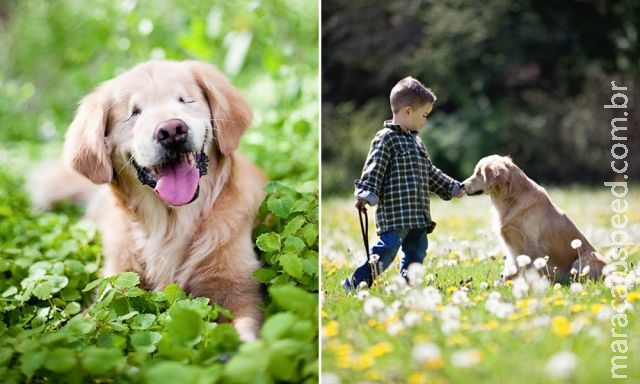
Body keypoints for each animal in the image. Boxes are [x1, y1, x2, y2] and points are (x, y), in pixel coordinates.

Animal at [32, 60, 266, 342]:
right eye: (134, 113)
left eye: (185, 100)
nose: (172, 130)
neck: (170, 223)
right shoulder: (114, 288)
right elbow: (88, 322)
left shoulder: (238, 289)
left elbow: (245, 328)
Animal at [462, 154, 608, 282]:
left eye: (479, 173)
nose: (462, 185)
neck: (511, 200)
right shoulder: (512, 246)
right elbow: (510, 269)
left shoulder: (531, 245)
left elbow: (528, 269)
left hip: (582, 260)